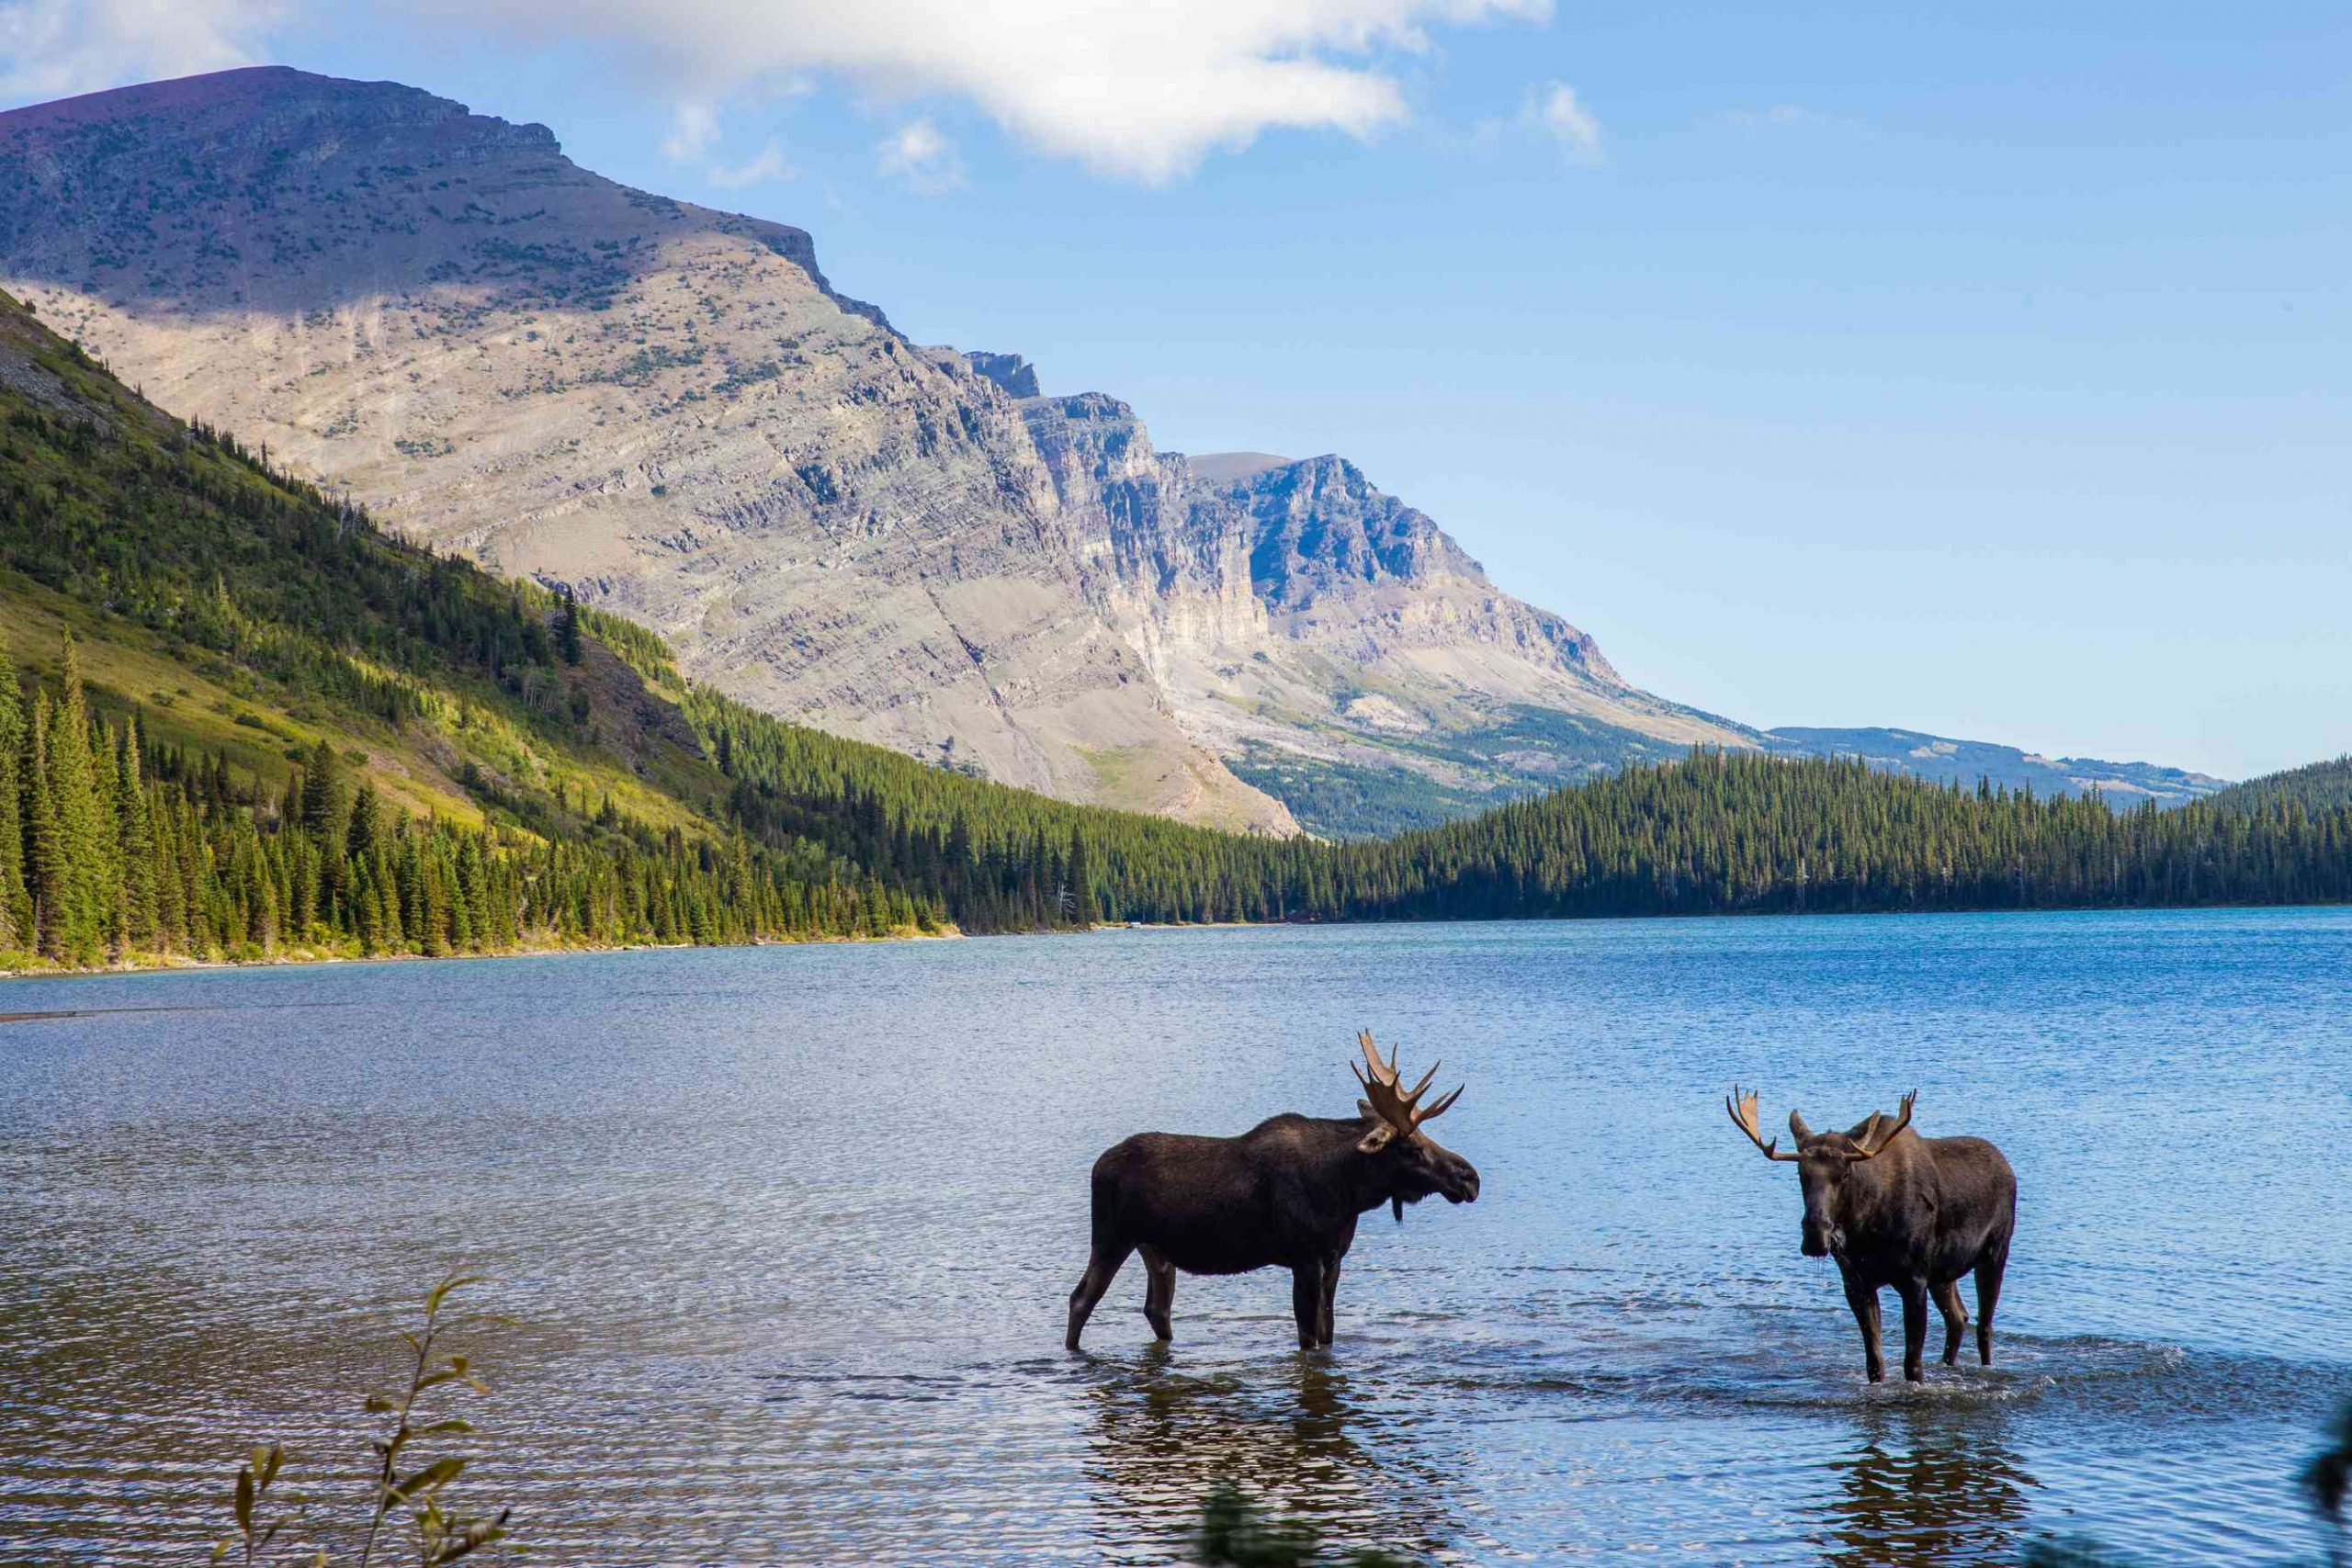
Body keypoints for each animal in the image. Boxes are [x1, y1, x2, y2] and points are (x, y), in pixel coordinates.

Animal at [1072, 1029, 1476, 1354]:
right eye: (1410, 1147)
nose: (1470, 1178)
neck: (1347, 1193)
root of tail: (1096, 1166)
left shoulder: (1334, 1260)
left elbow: (1328, 1334)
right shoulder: (1304, 1257)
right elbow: (1308, 1335)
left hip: (1154, 1249)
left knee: (1157, 1308)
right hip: (1112, 1238)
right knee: (1081, 1299)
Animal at [1721, 1090, 2013, 1382]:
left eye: (1845, 1174)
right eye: (1800, 1173)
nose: (1816, 1235)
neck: (1867, 1227)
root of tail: (2006, 1165)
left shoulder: (1915, 1280)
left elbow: (1912, 1364)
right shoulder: (1856, 1282)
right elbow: (1874, 1361)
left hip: (1994, 1253)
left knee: (1984, 1326)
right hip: (1943, 1274)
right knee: (1957, 1318)